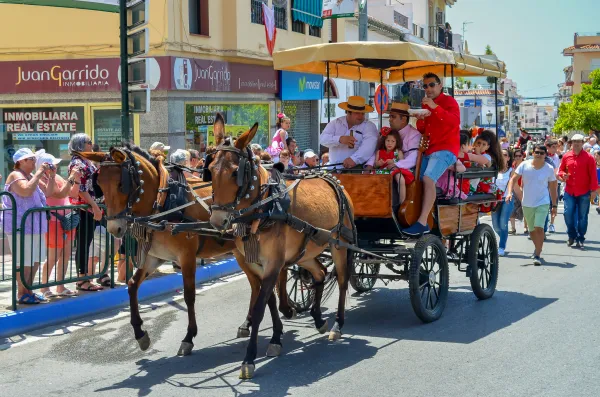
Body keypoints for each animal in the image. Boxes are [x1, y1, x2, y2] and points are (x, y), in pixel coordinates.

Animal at [77, 145, 296, 356]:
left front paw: (188, 337)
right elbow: (131, 285)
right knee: (257, 285)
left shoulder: (186, 256)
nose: (114, 229)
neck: (163, 202)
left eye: (122, 185)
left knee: (264, 285)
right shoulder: (154, 257)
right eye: (100, 185)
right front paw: (140, 334)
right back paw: (248, 323)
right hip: (242, 254)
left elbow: (189, 295)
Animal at [209, 115, 354, 378]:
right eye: (211, 169)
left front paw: (249, 358)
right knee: (319, 274)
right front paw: (276, 338)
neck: (263, 208)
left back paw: (338, 324)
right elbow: (269, 301)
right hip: (306, 252)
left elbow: (260, 308)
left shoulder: (274, 263)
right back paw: (318, 319)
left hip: (340, 246)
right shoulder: (257, 265)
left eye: (236, 172)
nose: (217, 221)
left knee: (341, 280)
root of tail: (333, 180)